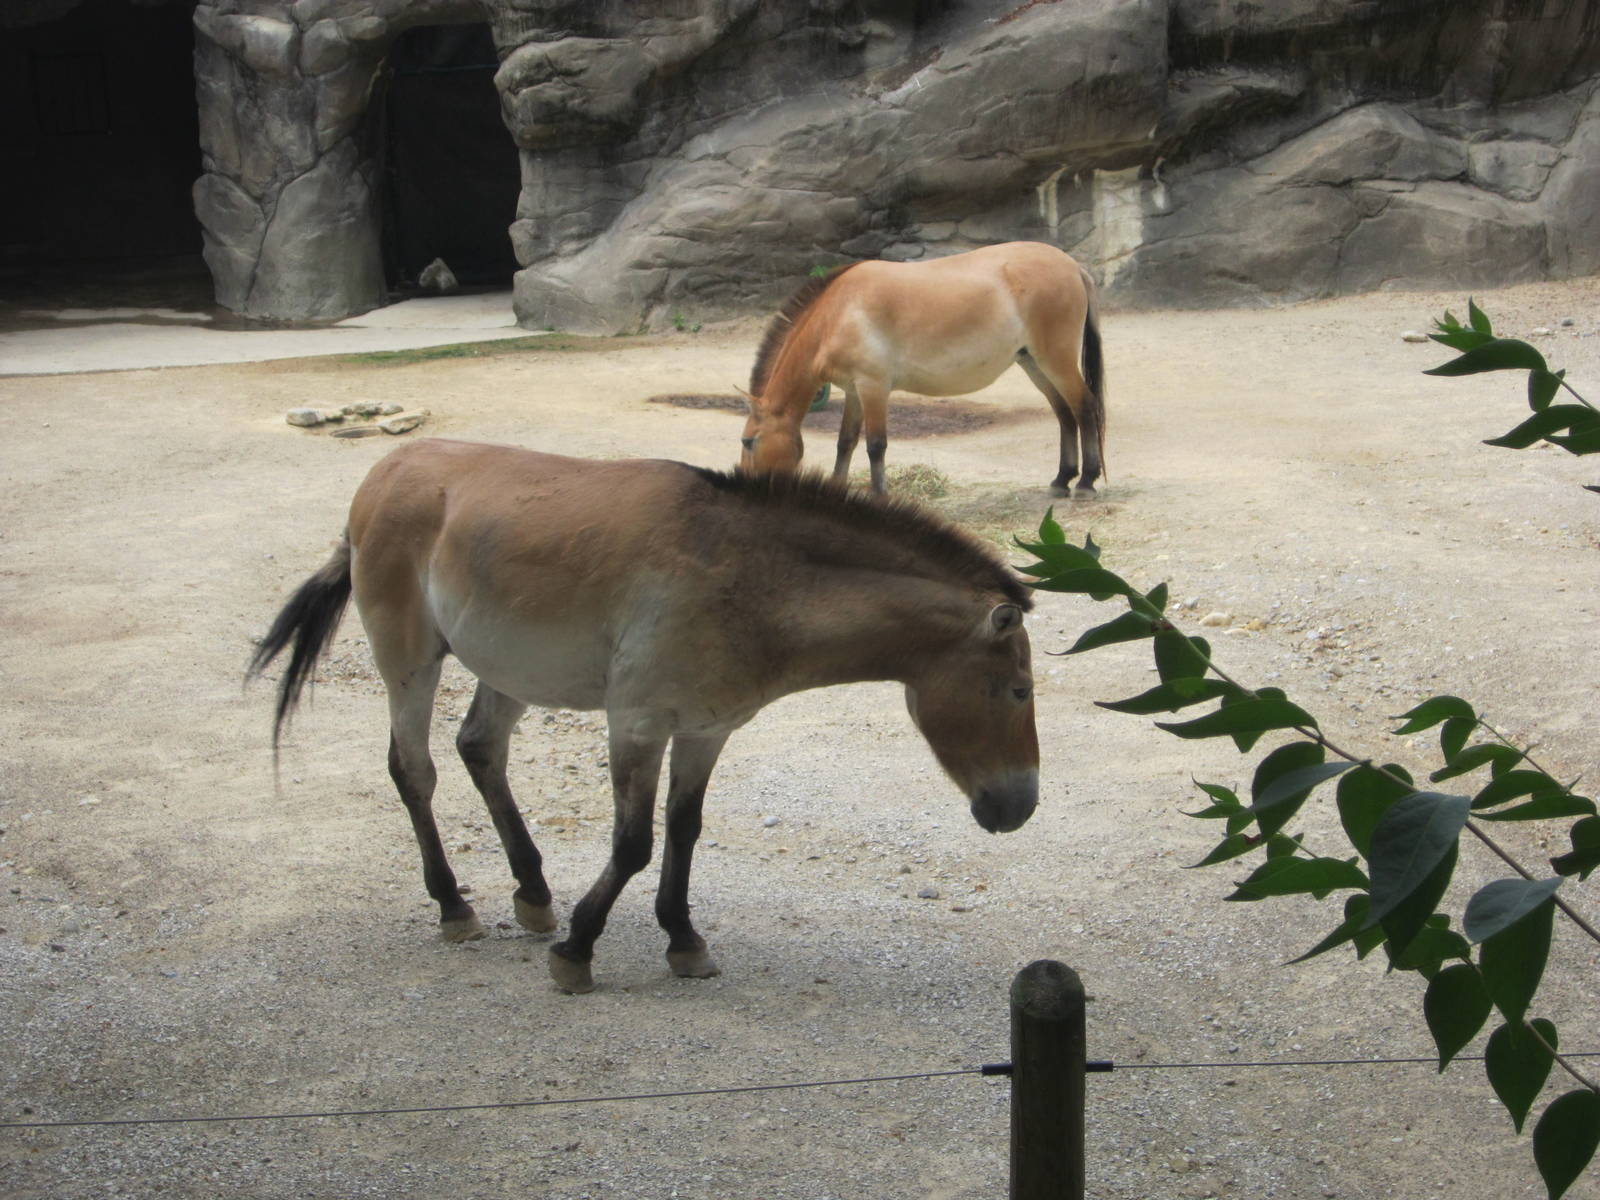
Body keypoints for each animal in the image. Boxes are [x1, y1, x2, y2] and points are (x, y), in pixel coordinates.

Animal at [248, 438, 1040, 993]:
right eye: (1016, 691)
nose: (1020, 807)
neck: (751, 577)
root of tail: (385, 471)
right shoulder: (636, 725)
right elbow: (632, 844)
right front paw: (578, 951)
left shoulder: (704, 730)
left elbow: (684, 833)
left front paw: (683, 940)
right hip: (410, 662)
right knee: (414, 770)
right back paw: (454, 908)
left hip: (510, 668)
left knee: (480, 749)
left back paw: (533, 895)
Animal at [739, 241, 1106, 497]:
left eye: (748, 442)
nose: (745, 486)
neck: (839, 313)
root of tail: (1073, 267)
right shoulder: (854, 392)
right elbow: (845, 443)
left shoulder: (873, 387)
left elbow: (875, 445)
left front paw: (880, 495)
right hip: (1034, 363)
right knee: (1064, 414)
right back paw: (1062, 479)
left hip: (1055, 360)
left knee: (1084, 406)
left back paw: (1086, 482)